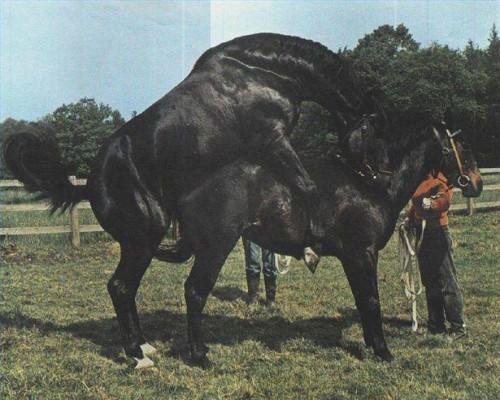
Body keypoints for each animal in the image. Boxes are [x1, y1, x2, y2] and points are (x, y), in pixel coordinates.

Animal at [155, 121, 480, 366]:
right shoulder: (363, 254)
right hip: (215, 247)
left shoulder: (353, 258)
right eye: (460, 147)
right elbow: (371, 300)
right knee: (195, 291)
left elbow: (362, 300)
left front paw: (370, 343)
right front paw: (383, 351)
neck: (371, 183)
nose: (475, 182)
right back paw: (199, 354)